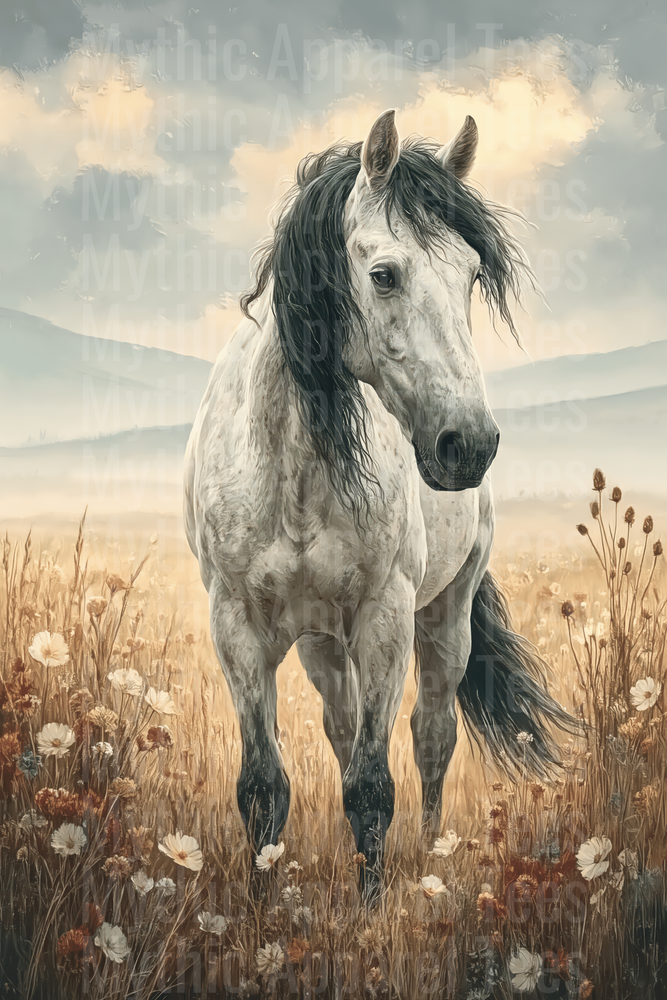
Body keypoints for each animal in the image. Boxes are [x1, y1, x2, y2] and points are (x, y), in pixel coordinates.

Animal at [184, 110, 576, 903]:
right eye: (384, 274)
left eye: (470, 276)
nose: (468, 444)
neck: (296, 471)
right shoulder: (236, 625)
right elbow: (263, 784)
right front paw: (264, 900)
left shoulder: (385, 617)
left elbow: (373, 783)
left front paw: (372, 908)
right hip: (319, 642)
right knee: (341, 730)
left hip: (445, 613)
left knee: (431, 736)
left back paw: (428, 858)